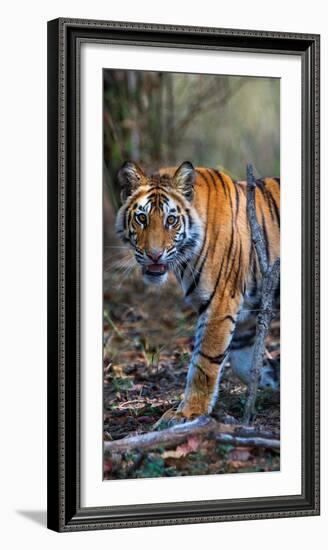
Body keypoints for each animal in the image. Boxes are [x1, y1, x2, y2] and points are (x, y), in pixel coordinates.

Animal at [115, 160, 280, 426]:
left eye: (171, 220)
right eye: (141, 218)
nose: (154, 255)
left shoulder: (220, 304)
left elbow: (204, 362)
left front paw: (187, 413)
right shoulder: (245, 316)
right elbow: (247, 364)